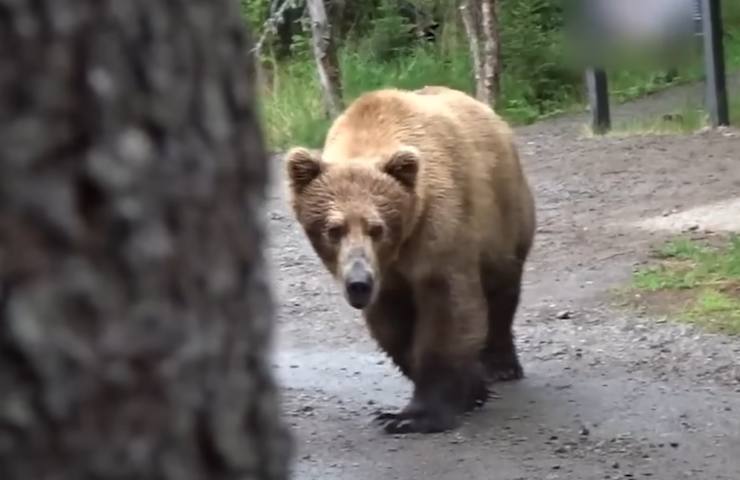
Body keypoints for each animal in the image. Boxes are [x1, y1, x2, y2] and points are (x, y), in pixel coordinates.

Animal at [282, 86, 532, 436]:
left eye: (377, 227)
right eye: (333, 229)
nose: (358, 283)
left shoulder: (438, 232)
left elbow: (446, 313)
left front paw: (415, 416)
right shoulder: (387, 281)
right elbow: (394, 329)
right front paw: (470, 389)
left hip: (504, 214)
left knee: (502, 289)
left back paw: (502, 365)